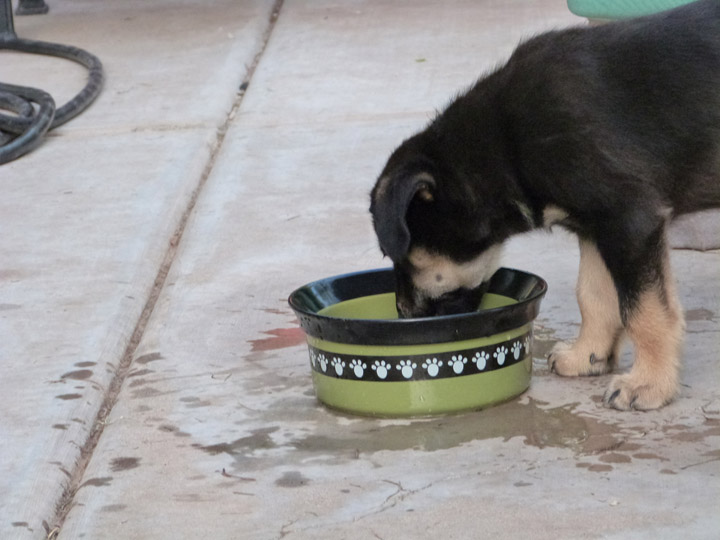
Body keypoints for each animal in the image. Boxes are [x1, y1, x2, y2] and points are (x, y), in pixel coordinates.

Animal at [372, 1, 720, 410]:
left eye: (408, 259)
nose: (403, 317)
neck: (504, 147)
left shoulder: (630, 219)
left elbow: (643, 309)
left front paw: (649, 384)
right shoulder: (594, 224)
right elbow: (593, 294)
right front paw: (589, 356)